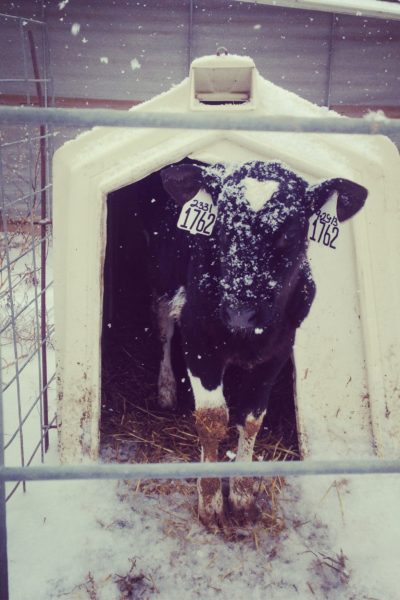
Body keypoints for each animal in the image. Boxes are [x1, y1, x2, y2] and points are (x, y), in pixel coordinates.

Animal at [141, 161, 368, 528]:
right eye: (220, 230)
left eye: (289, 234)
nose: (240, 311)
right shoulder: (199, 340)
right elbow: (212, 418)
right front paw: (211, 504)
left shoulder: (278, 350)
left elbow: (251, 418)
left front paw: (242, 497)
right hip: (160, 277)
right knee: (163, 330)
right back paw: (165, 390)